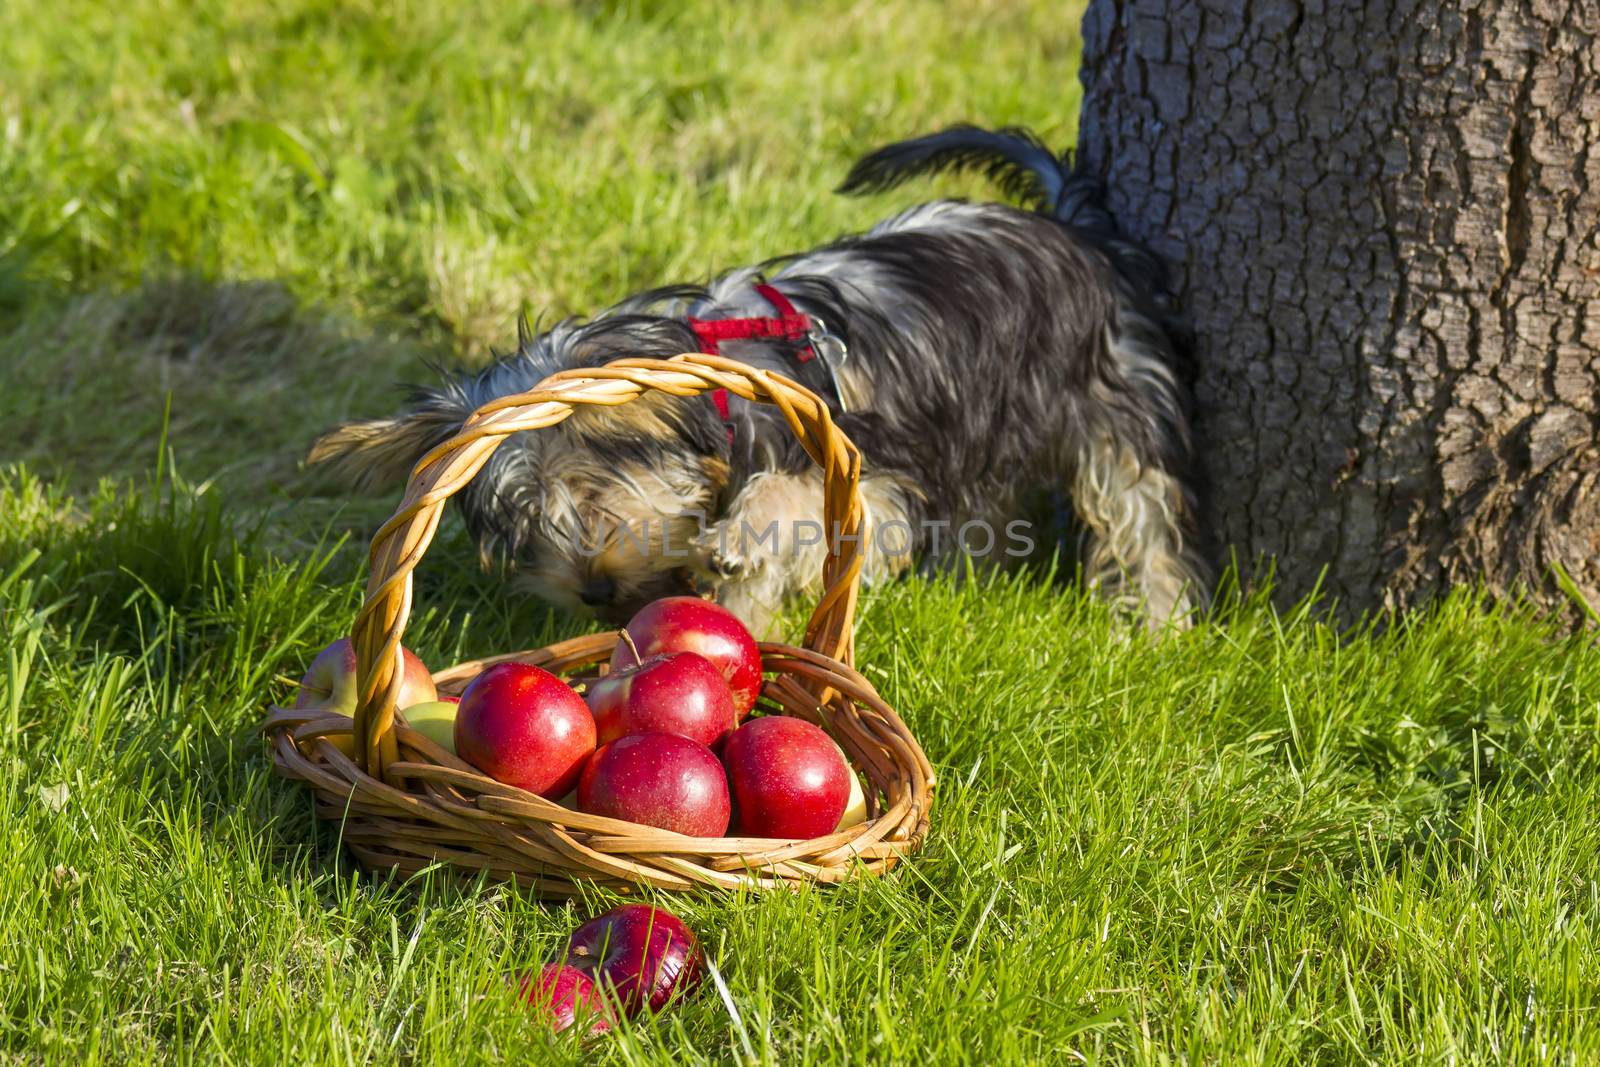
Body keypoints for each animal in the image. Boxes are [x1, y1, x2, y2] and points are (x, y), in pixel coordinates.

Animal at [312, 130, 1203, 639]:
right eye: (527, 528)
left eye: (593, 499)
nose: (594, 592)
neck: (723, 401)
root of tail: (1075, 227)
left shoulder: (872, 478)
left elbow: (799, 502)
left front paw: (742, 529)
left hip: (1117, 405)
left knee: (1143, 517)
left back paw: (1160, 627)